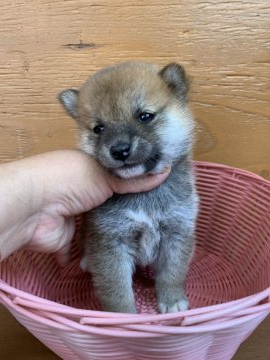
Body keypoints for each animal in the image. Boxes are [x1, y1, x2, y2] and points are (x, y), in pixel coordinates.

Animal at [59, 61, 198, 312]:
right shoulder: (110, 243)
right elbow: (116, 291)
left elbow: (172, 273)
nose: (119, 150)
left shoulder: (177, 232)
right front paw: (123, 316)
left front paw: (172, 300)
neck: (144, 195)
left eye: (144, 116)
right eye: (98, 128)